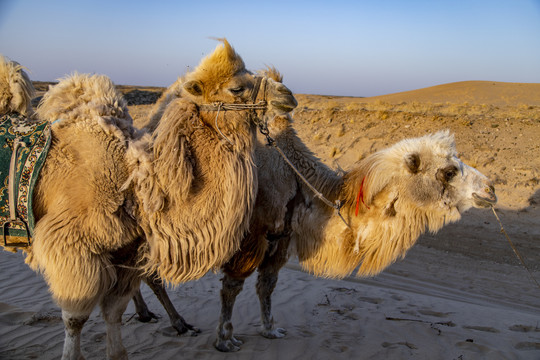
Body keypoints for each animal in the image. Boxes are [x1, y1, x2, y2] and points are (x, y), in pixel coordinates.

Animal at [0, 39, 298, 360]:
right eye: (237, 87)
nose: (288, 95)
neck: (133, 188)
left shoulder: (127, 253)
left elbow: (114, 311)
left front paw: (119, 350)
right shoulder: (71, 246)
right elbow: (75, 318)